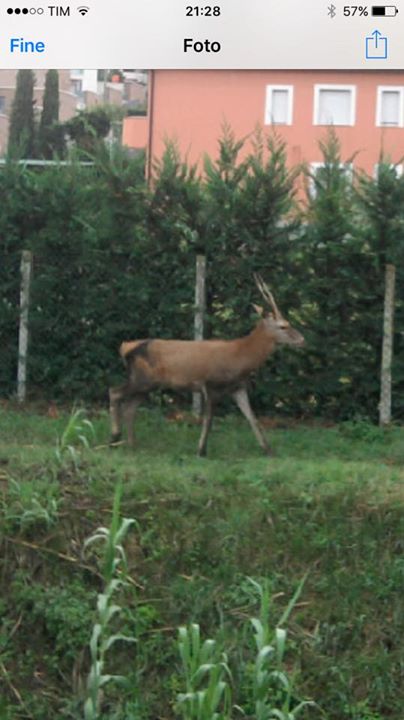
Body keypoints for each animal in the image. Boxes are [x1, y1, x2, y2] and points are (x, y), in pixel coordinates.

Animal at [109, 276, 304, 456]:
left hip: (148, 384)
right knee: (115, 392)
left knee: (129, 407)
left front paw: (268, 450)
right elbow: (208, 420)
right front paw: (201, 450)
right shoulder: (211, 384)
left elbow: (252, 418)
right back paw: (114, 439)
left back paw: (132, 444)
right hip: (141, 378)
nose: (302, 339)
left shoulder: (238, 387)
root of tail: (125, 347)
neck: (240, 359)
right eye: (283, 326)